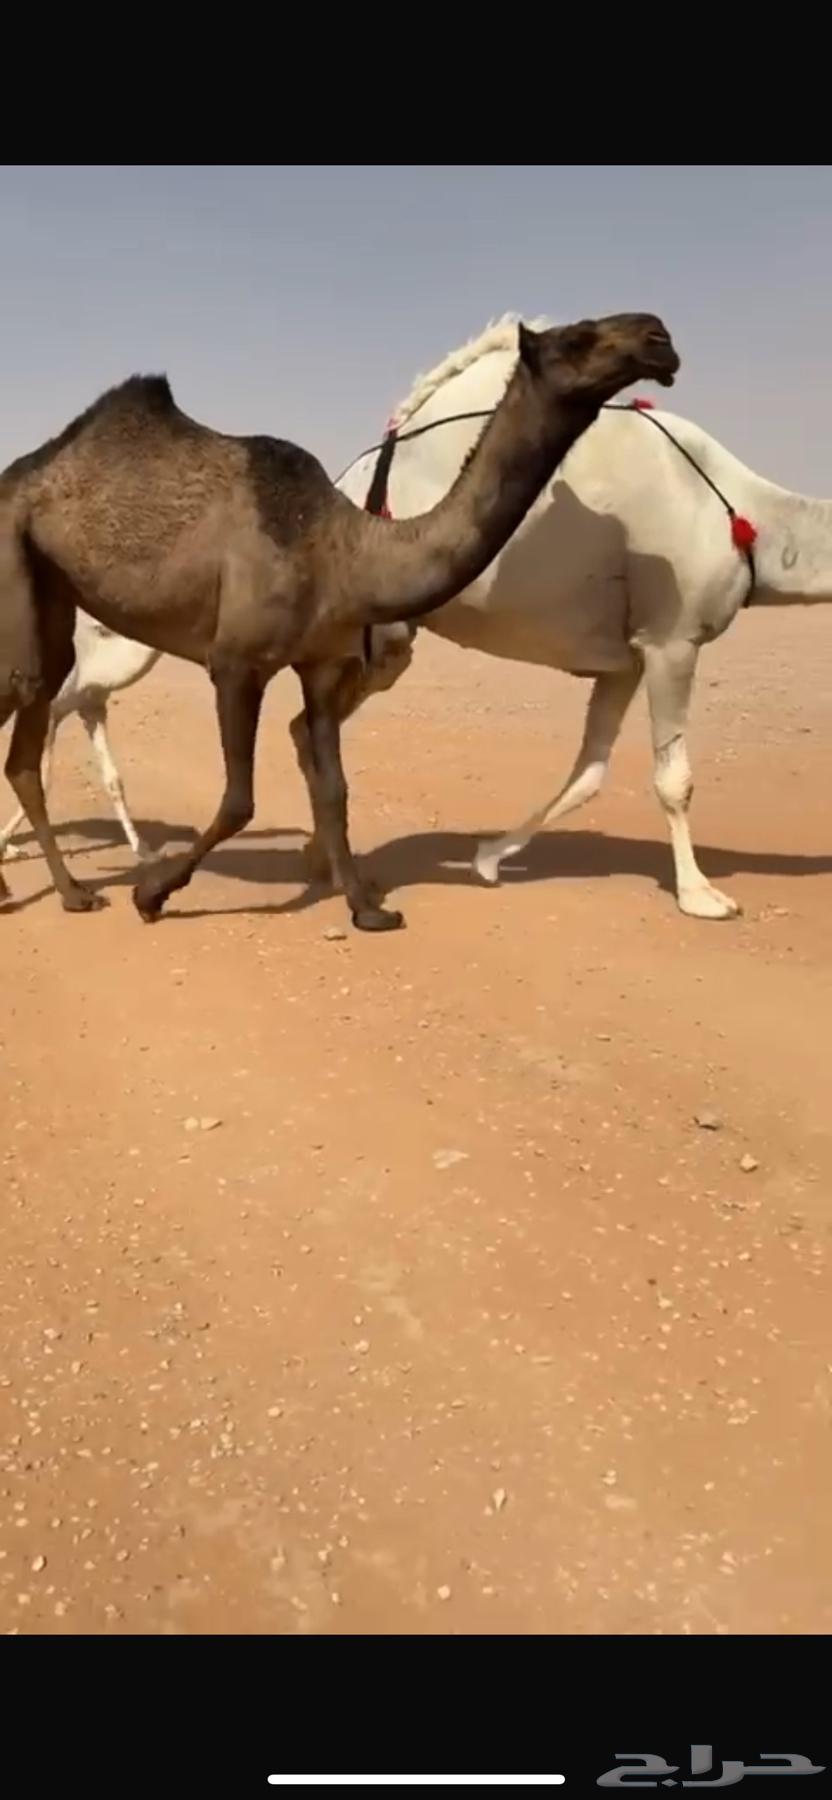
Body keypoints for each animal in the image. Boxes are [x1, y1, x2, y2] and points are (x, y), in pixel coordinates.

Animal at [0, 613, 158, 864]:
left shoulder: (93, 707)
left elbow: (113, 779)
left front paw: (144, 851)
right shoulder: (49, 711)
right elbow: (43, 780)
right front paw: (2, 842)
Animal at [302, 315, 832, 921]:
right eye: (577, 338)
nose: (660, 336)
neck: (749, 516)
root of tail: (346, 478)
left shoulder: (625, 660)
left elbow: (590, 772)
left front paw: (489, 859)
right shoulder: (672, 638)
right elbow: (674, 779)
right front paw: (701, 894)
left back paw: (322, 861)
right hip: (377, 632)